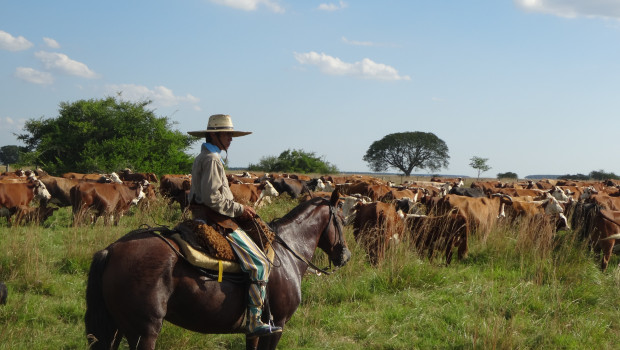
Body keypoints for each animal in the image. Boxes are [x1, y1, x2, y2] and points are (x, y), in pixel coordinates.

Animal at [85, 190, 352, 348]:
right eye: (341, 219)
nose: (345, 256)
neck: (288, 252)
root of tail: (111, 250)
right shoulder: (277, 326)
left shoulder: (254, 332)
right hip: (144, 332)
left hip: (118, 328)